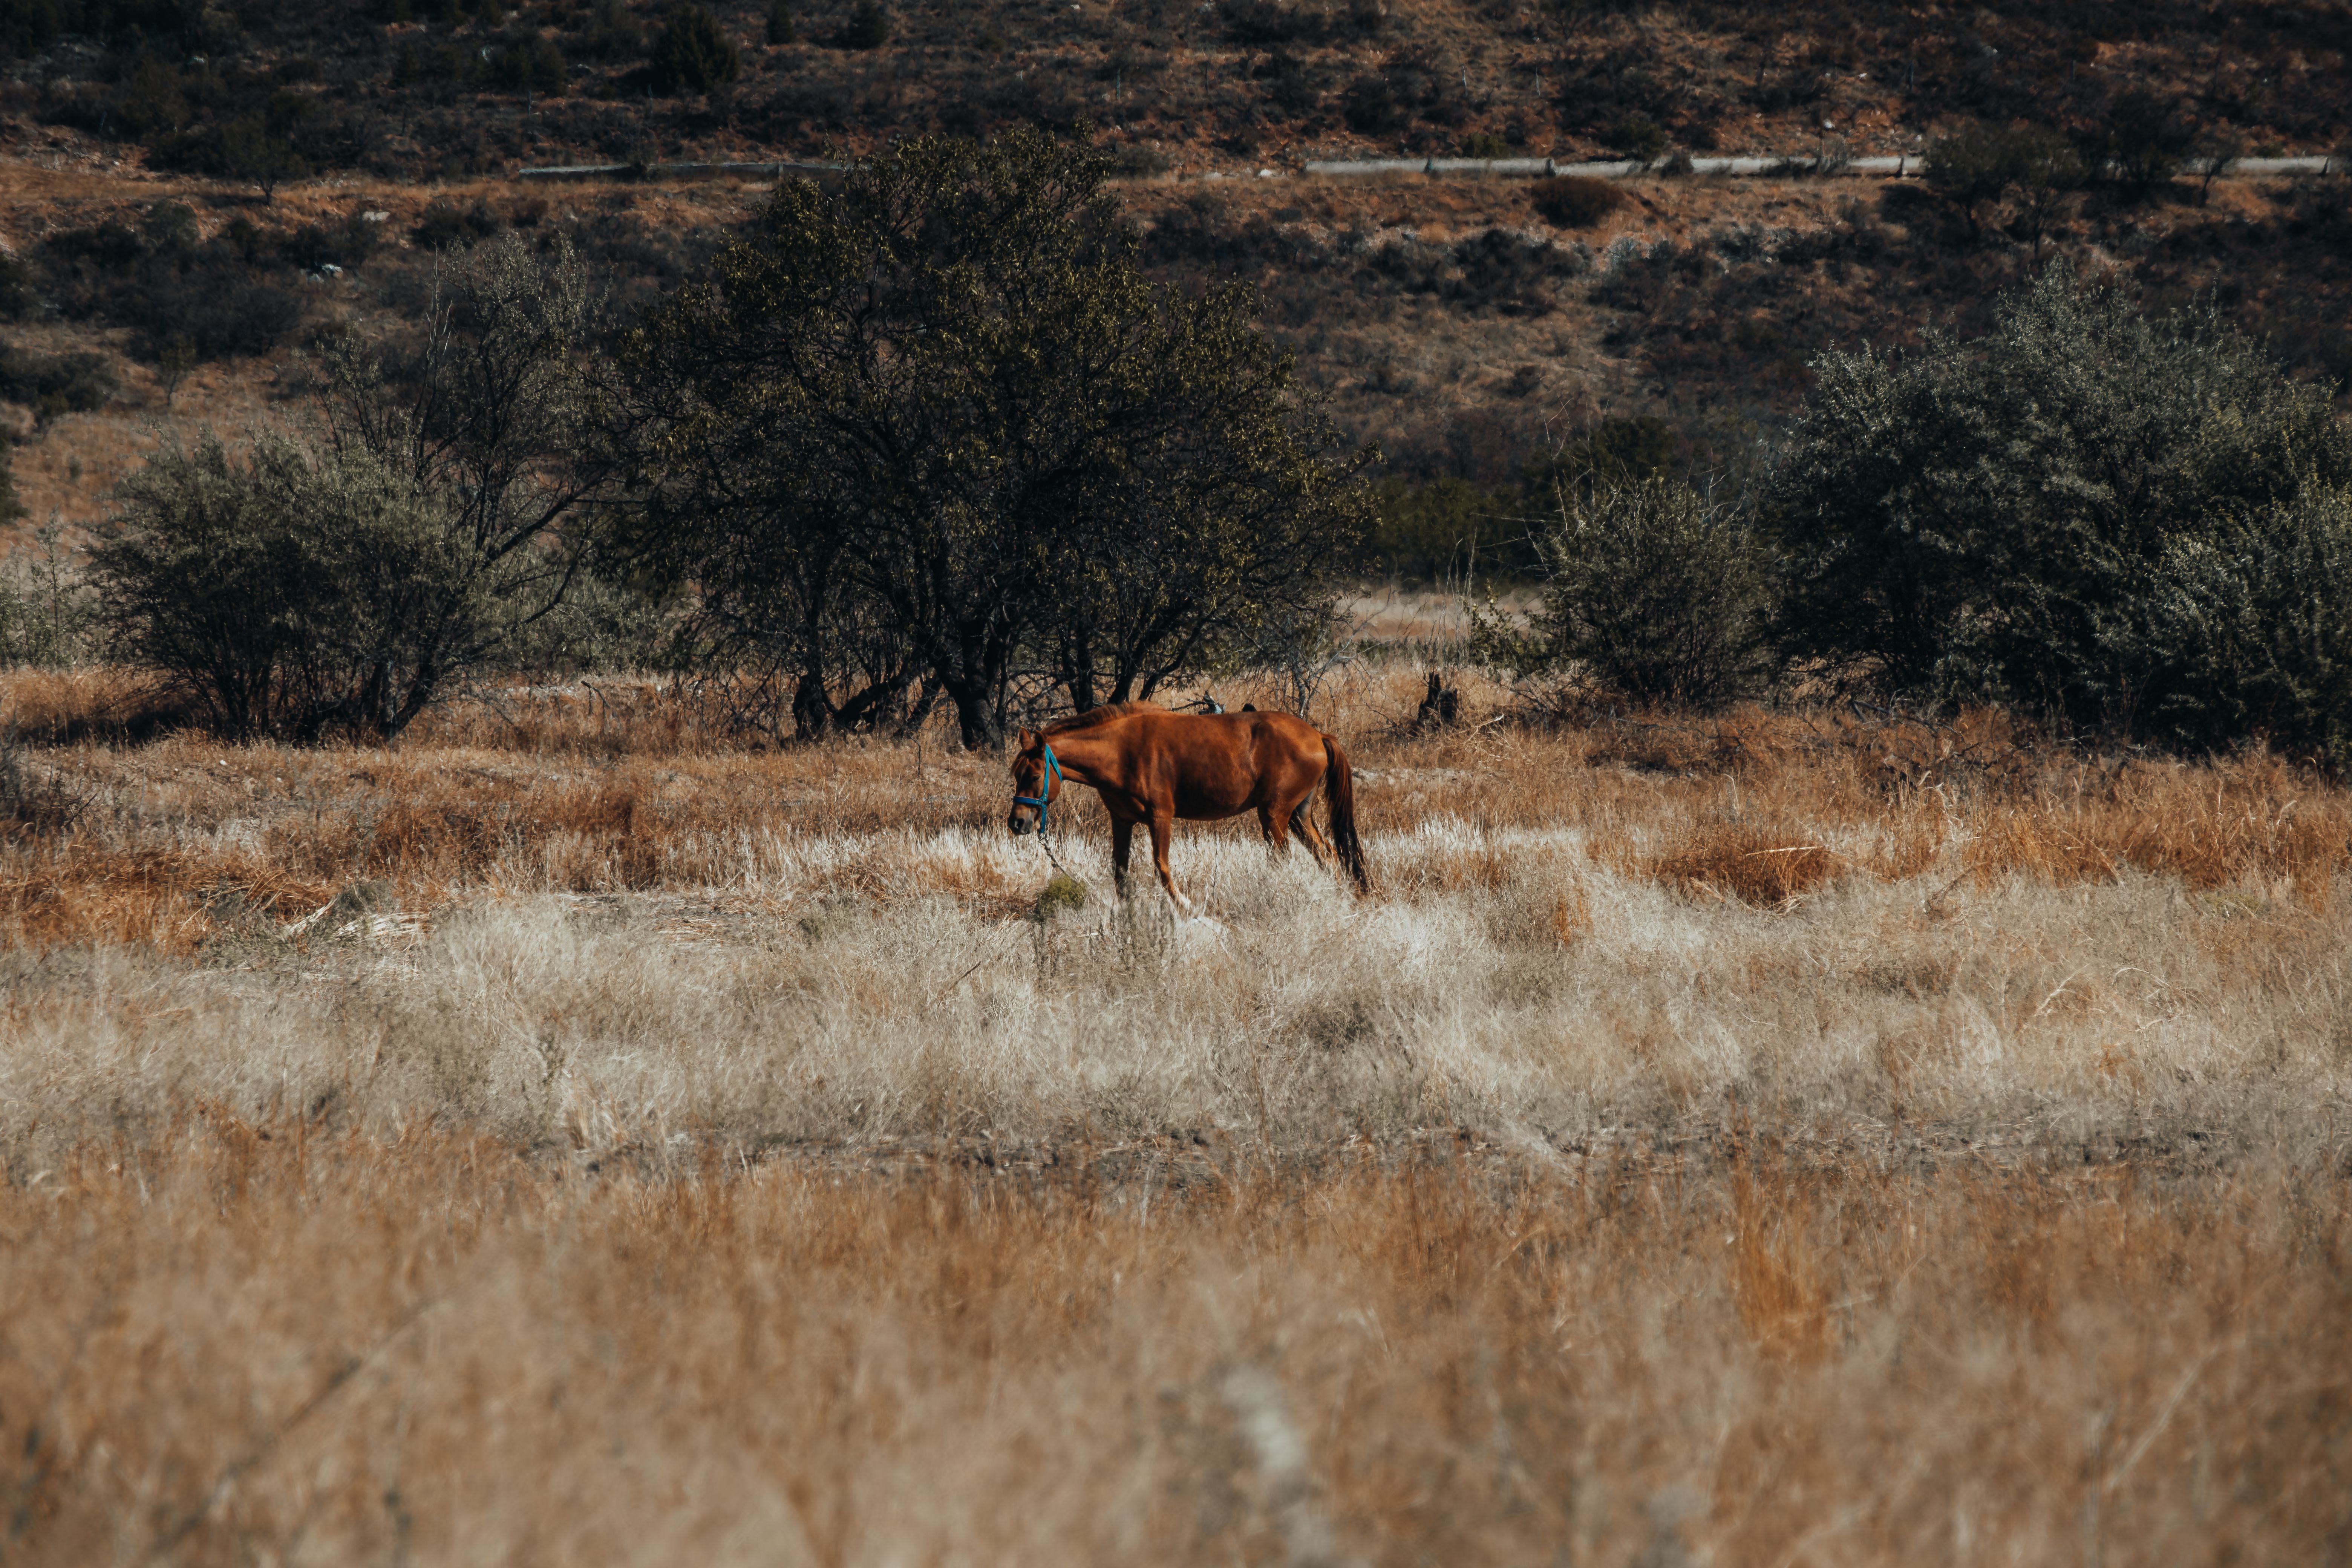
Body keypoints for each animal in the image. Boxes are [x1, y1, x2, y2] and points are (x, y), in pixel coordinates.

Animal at [1006, 701, 1367, 915]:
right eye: (1015, 774)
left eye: (1035, 775)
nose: (1017, 822)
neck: (1121, 751)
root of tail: (1317, 736)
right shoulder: (1122, 820)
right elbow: (1120, 872)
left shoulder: (1160, 817)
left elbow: (1162, 868)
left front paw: (1186, 908)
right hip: (1298, 816)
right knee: (1328, 856)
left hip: (1274, 816)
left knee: (1282, 859)